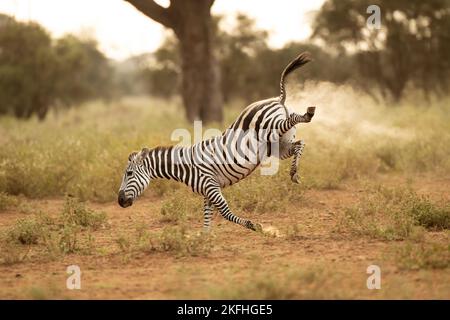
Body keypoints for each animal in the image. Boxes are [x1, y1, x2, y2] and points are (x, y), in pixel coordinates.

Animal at [119, 52, 316, 232]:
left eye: (129, 173)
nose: (120, 201)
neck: (184, 167)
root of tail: (276, 99)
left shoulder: (210, 185)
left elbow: (225, 213)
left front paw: (254, 226)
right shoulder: (207, 191)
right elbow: (207, 219)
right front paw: (204, 240)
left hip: (274, 127)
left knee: (293, 120)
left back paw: (309, 113)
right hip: (278, 145)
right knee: (299, 144)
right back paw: (294, 173)